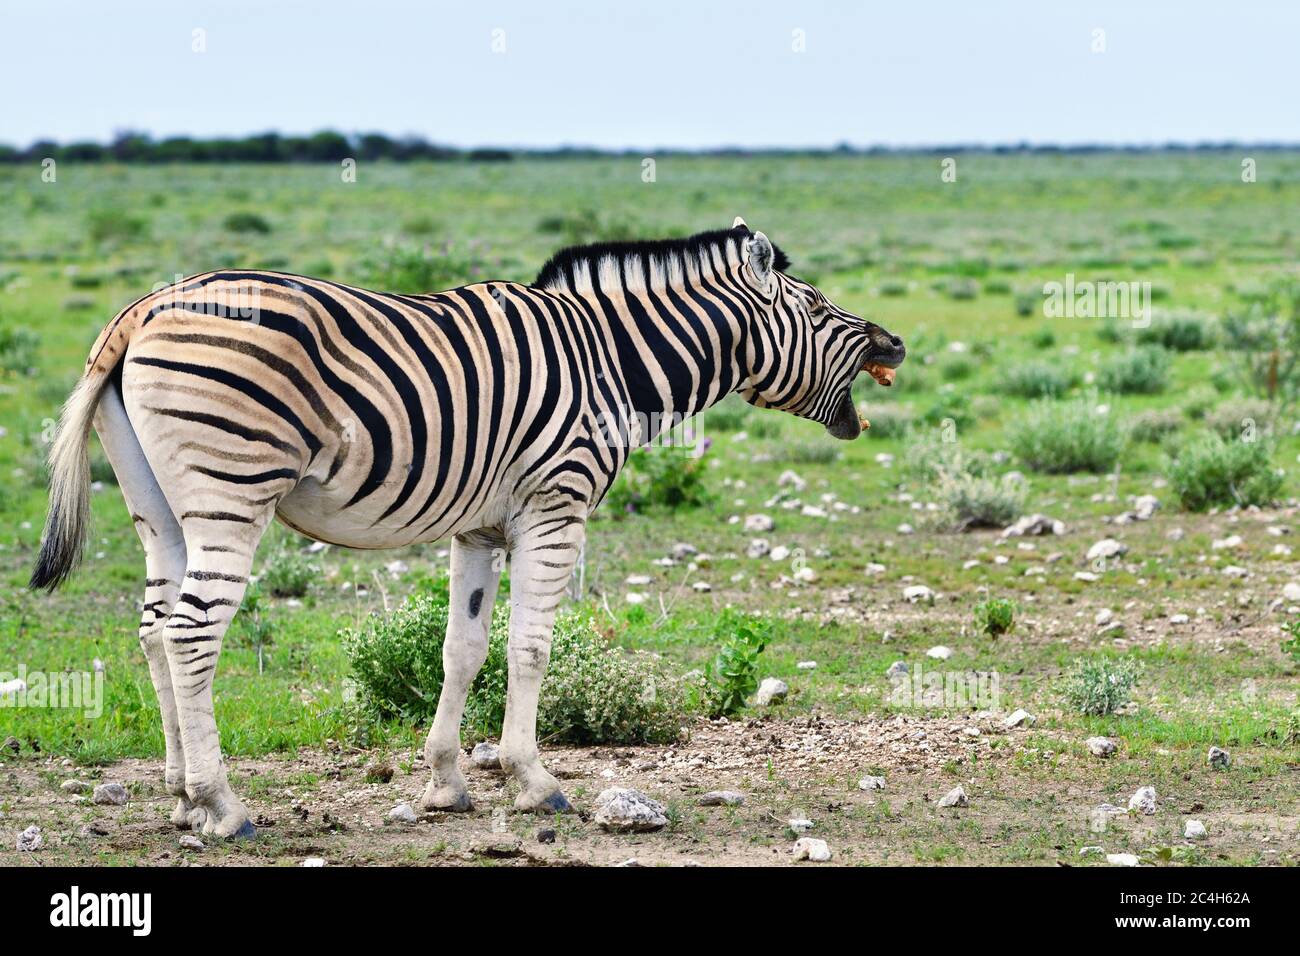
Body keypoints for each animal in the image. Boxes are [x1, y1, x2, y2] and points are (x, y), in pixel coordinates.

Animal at [30, 218, 905, 839]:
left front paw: (446, 782)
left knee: (153, 628)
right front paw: (534, 781)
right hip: (232, 490)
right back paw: (222, 804)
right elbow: (531, 646)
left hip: (158, 509)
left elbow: (463, 648)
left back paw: (180, 796)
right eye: (817, 308)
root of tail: (143, 307)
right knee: (190, 632)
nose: (896, 342)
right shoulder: (556, 504)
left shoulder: (479, 528)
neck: (613, 362)